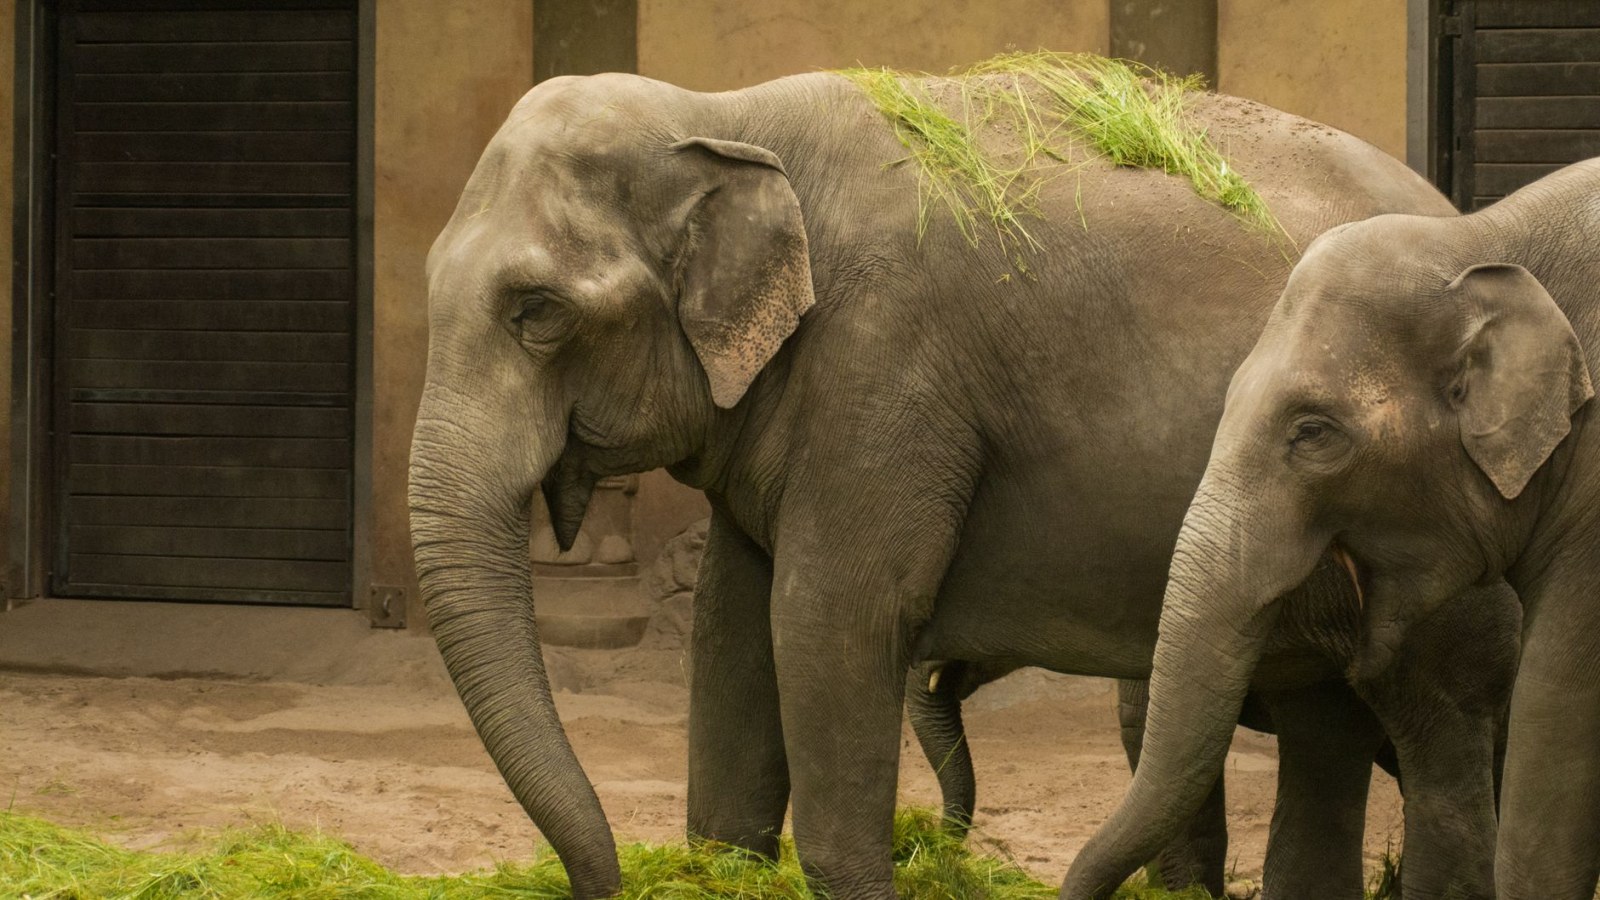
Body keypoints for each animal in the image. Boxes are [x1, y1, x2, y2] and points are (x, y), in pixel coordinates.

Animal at [408, 62, 1495, 899]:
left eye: (538, 312)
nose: (597, 881)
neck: (726, 112)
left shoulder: (885, 369)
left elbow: (829, 620)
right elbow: (730, 628)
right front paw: (719, 867)